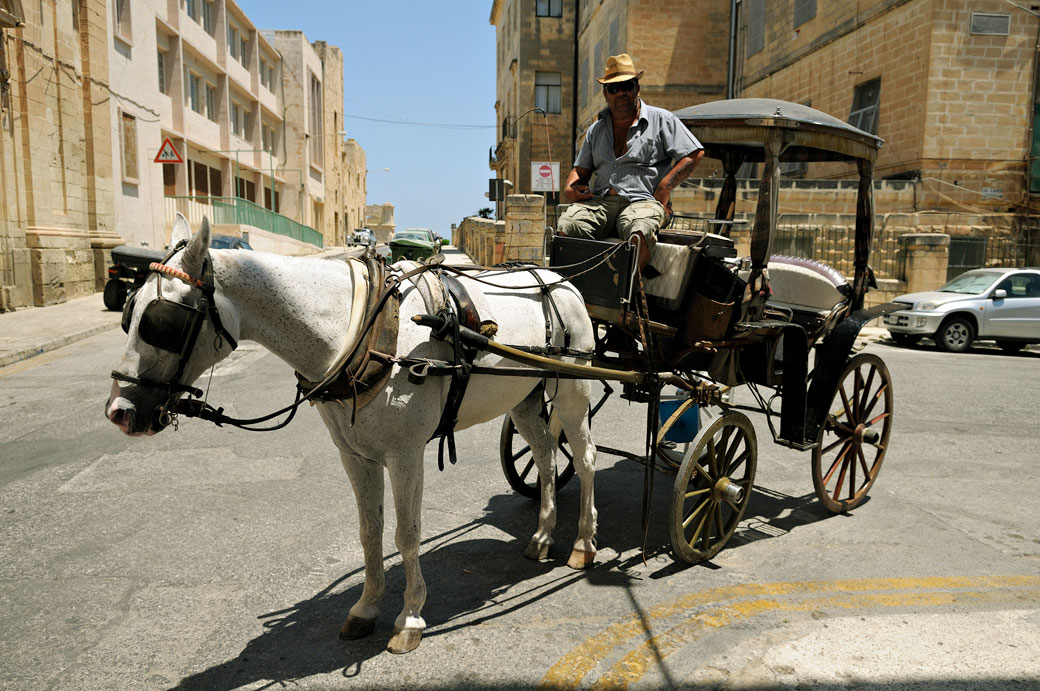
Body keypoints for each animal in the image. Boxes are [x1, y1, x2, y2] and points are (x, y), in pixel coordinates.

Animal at [104, 216, 599, 653]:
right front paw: (365, 608)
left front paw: (410, 618)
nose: (119, 412)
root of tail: (561, 279)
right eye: (128, 315)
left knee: (585, 457)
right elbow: (369, 530)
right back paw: (542, 536)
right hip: (524, 396)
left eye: (162, 322)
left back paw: (582, 544)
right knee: (545, 454)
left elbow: (407, 534)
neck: (359, 329)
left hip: (572, 388)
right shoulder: (355, 455)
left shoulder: (405, 454)